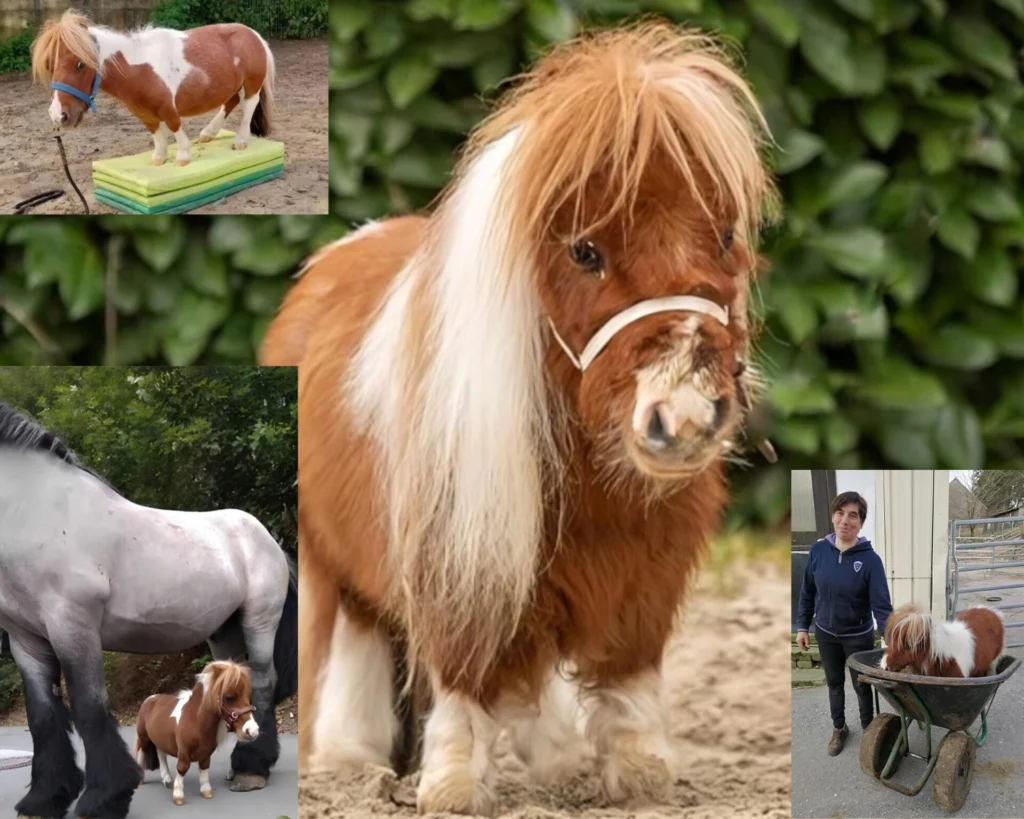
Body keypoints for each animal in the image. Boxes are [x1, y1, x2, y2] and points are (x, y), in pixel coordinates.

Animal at [30, 9, 275, 167]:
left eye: (80, 64)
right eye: (50, 64)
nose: (58, 115)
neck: (137, 69)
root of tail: (253, 34)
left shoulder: (167, 107)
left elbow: (174, 125)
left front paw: (183, 156)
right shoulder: (144, 113)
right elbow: (156, 133)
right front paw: (159, 157)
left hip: (251, 84)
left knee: (248, 105)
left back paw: (240, 141)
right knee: (231, 101)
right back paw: (208, 133)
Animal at [135, 660, 258, 805]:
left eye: (248, 696)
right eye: (229, 697)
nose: (252, 730)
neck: (195, 720)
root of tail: (150, 699)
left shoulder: (206, 753)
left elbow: (204, 767)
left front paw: (206, 791)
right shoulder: (183, 751)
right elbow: (182, 767)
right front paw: (178, 795)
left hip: (160, 739)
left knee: (161, 755)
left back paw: (168, 780)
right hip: (143, 737)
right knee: (142, 752)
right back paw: (141, 780)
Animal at [260, 20, 775, 815]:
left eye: (723, 236)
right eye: (585, 251)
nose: (684, 415)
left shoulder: (646, 565)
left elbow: (626, 669)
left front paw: (639, 773)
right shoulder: (459, 554)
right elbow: (462, 672)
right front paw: (451, 784)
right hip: (327, 552)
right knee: (356, 636)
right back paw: (351, 760)